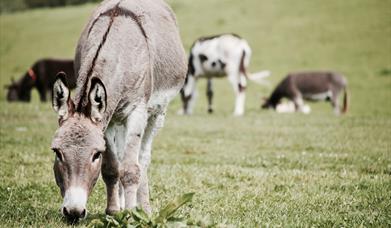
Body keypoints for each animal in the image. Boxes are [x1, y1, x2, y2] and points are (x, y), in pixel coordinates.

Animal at [50, 0, 187, 222]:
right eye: (57, 153)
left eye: (96, 154)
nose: (73, 212)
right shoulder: (107, 119)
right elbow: (112, 168)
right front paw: (114, 211)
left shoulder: (137, 112)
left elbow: (131, 169)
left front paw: (131, 215)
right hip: (119, 119)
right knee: (123, 156)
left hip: (155, 114)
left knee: (143, 159)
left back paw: (144, 209)